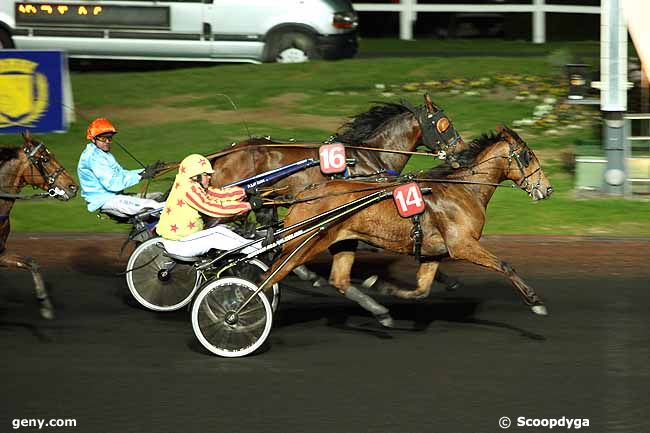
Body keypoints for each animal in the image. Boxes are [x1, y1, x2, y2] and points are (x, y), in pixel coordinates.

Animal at [210, 96, 464, 288]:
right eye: (444, 124)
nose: (461, 151)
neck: (370, 157)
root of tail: (223, 155)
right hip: (228, 207)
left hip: (263, 204)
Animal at [260, 126, 552, 326]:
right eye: (528, 156)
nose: (547, 189)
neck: (463, 189)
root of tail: (305, 193)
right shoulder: (462, 245)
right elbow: (504, 265)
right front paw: (535, 301)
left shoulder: (433, 252)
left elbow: (421, 291)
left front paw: (381, 286)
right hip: (304, 243)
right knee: (270, 276)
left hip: (342, 241)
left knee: (338, 280)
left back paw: (379, 311)